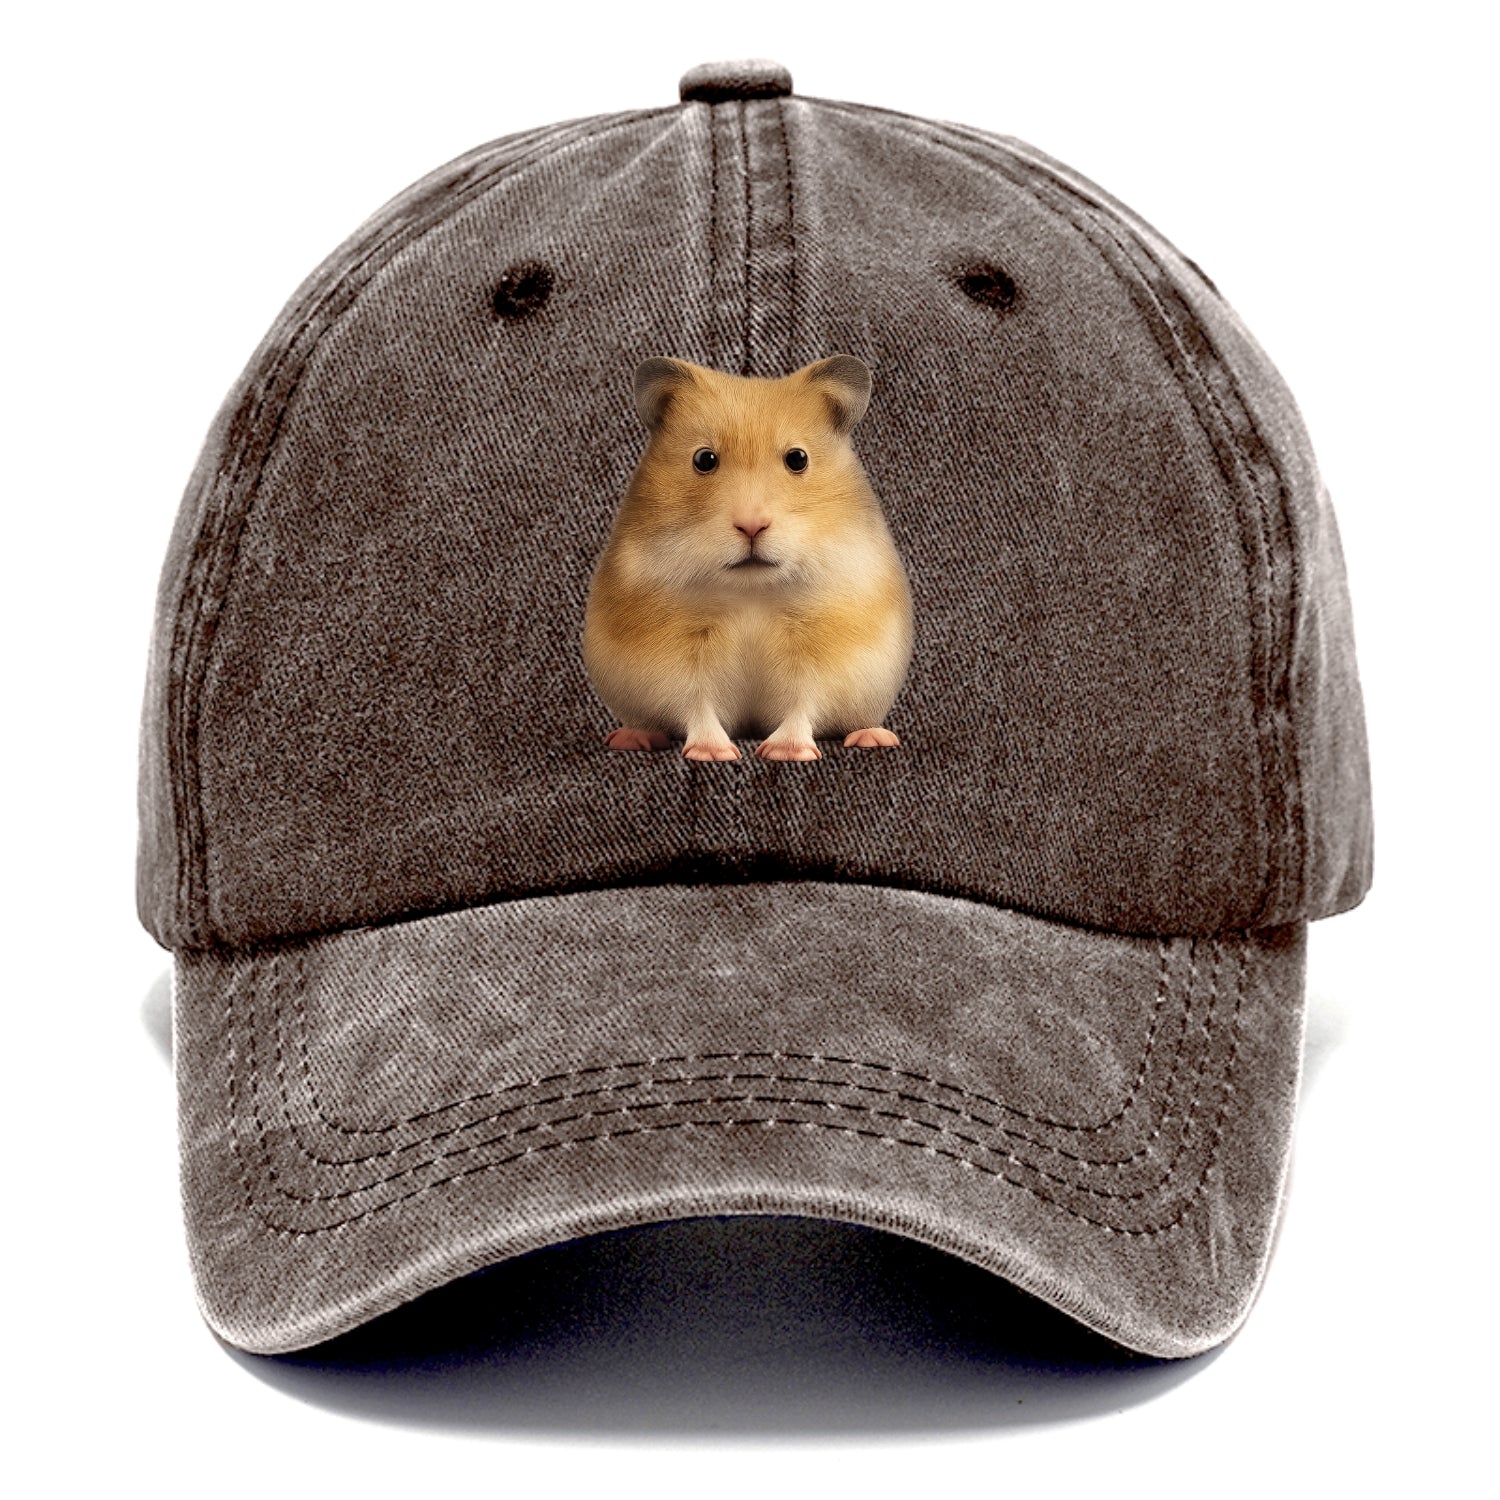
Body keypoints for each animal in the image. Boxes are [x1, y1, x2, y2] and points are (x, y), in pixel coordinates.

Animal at [583, 355, 914, 762]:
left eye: (797, 459)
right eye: (704, 459)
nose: (751, 526)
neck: (750, 590)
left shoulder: (821, 653)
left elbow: (803, 702)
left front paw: (785, 752)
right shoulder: (676, 659)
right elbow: (696, 703)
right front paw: (713, 753)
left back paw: (874, 737)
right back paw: (631, 738)